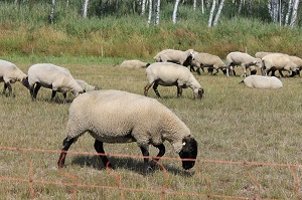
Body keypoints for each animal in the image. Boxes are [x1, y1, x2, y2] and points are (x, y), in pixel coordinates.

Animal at [57, 89, 199, 173]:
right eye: (189, 150)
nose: (189, 167)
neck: (163, 121)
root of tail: (76, 100)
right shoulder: (141, 135)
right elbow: (146, 154)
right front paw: (146, 170)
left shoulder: (153, 136)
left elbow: (162, 150)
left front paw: (153, 165)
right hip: (77, 125)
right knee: (66, 143)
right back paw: (60, 164)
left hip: (99, 131)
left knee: (98, 146)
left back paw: (109, 166)